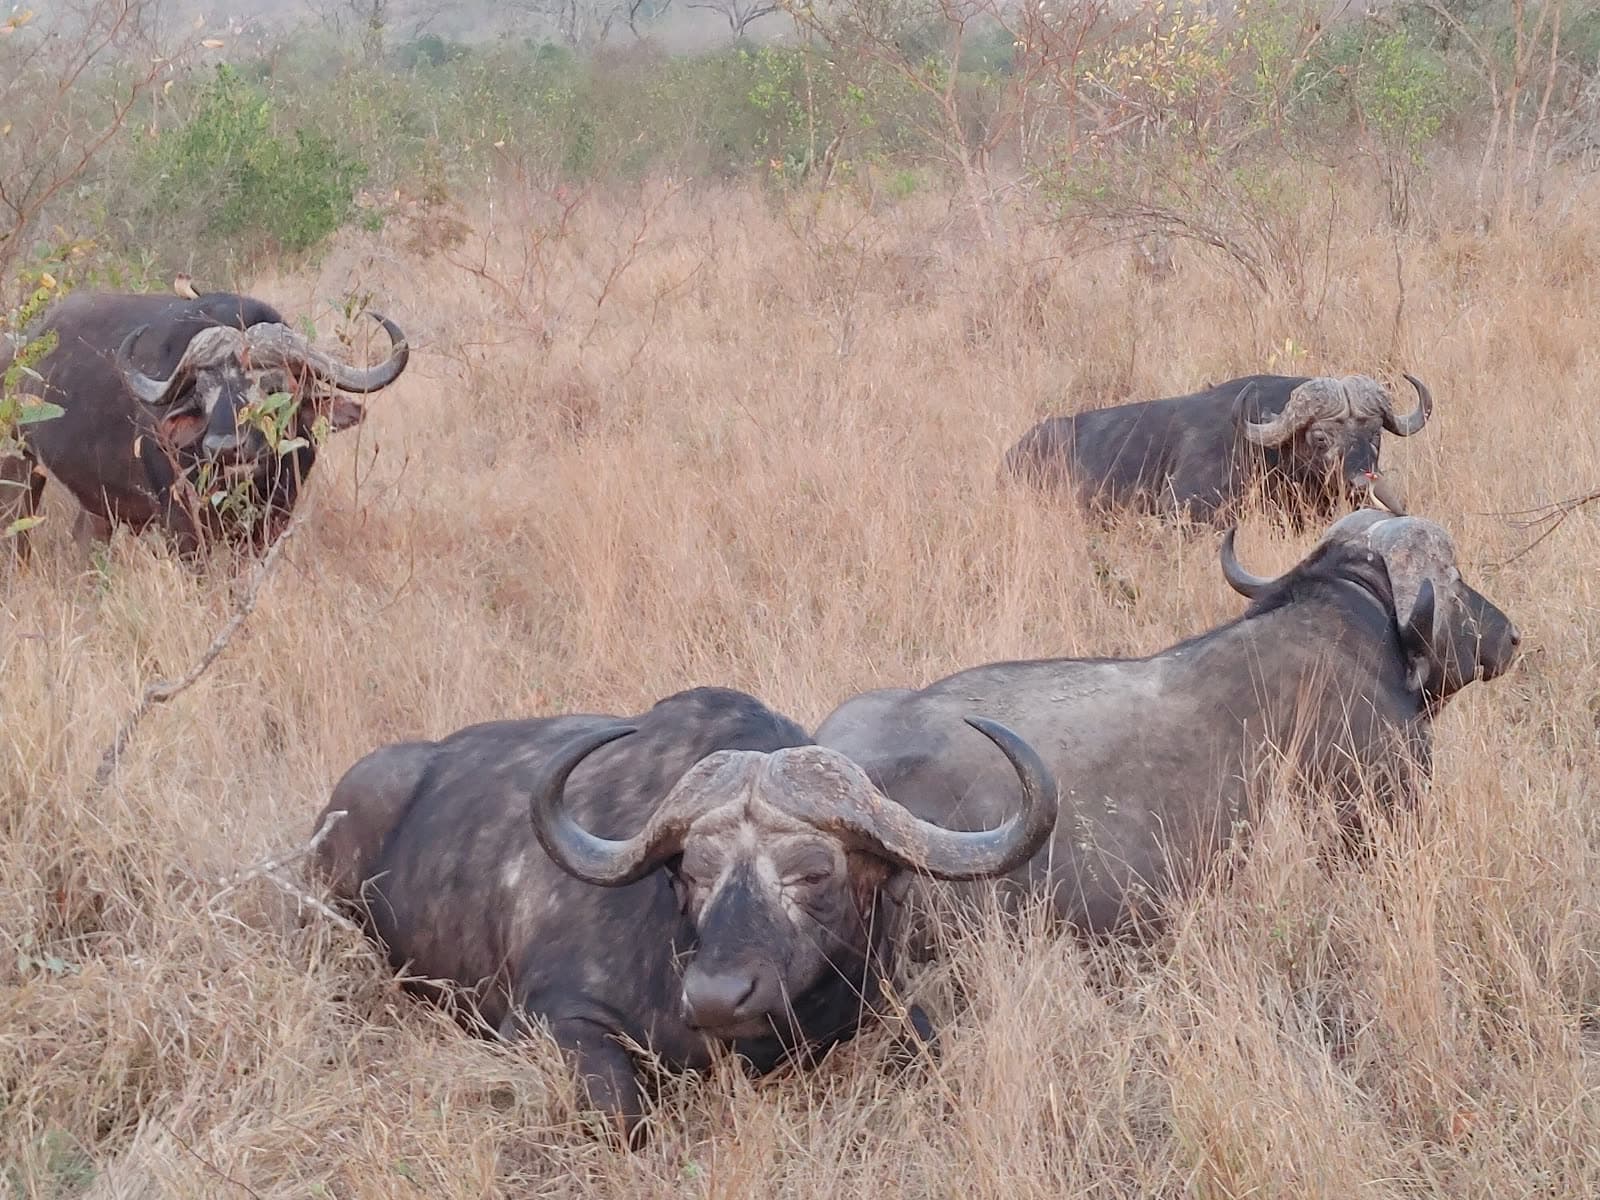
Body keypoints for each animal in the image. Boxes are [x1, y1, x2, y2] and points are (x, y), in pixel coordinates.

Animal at [1, 289, 408, 554]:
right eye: (203, 392)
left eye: (273, 386)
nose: (224, 448)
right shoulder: (182, 528)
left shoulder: (271, 523)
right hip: (18, 470)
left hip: (99, 503)